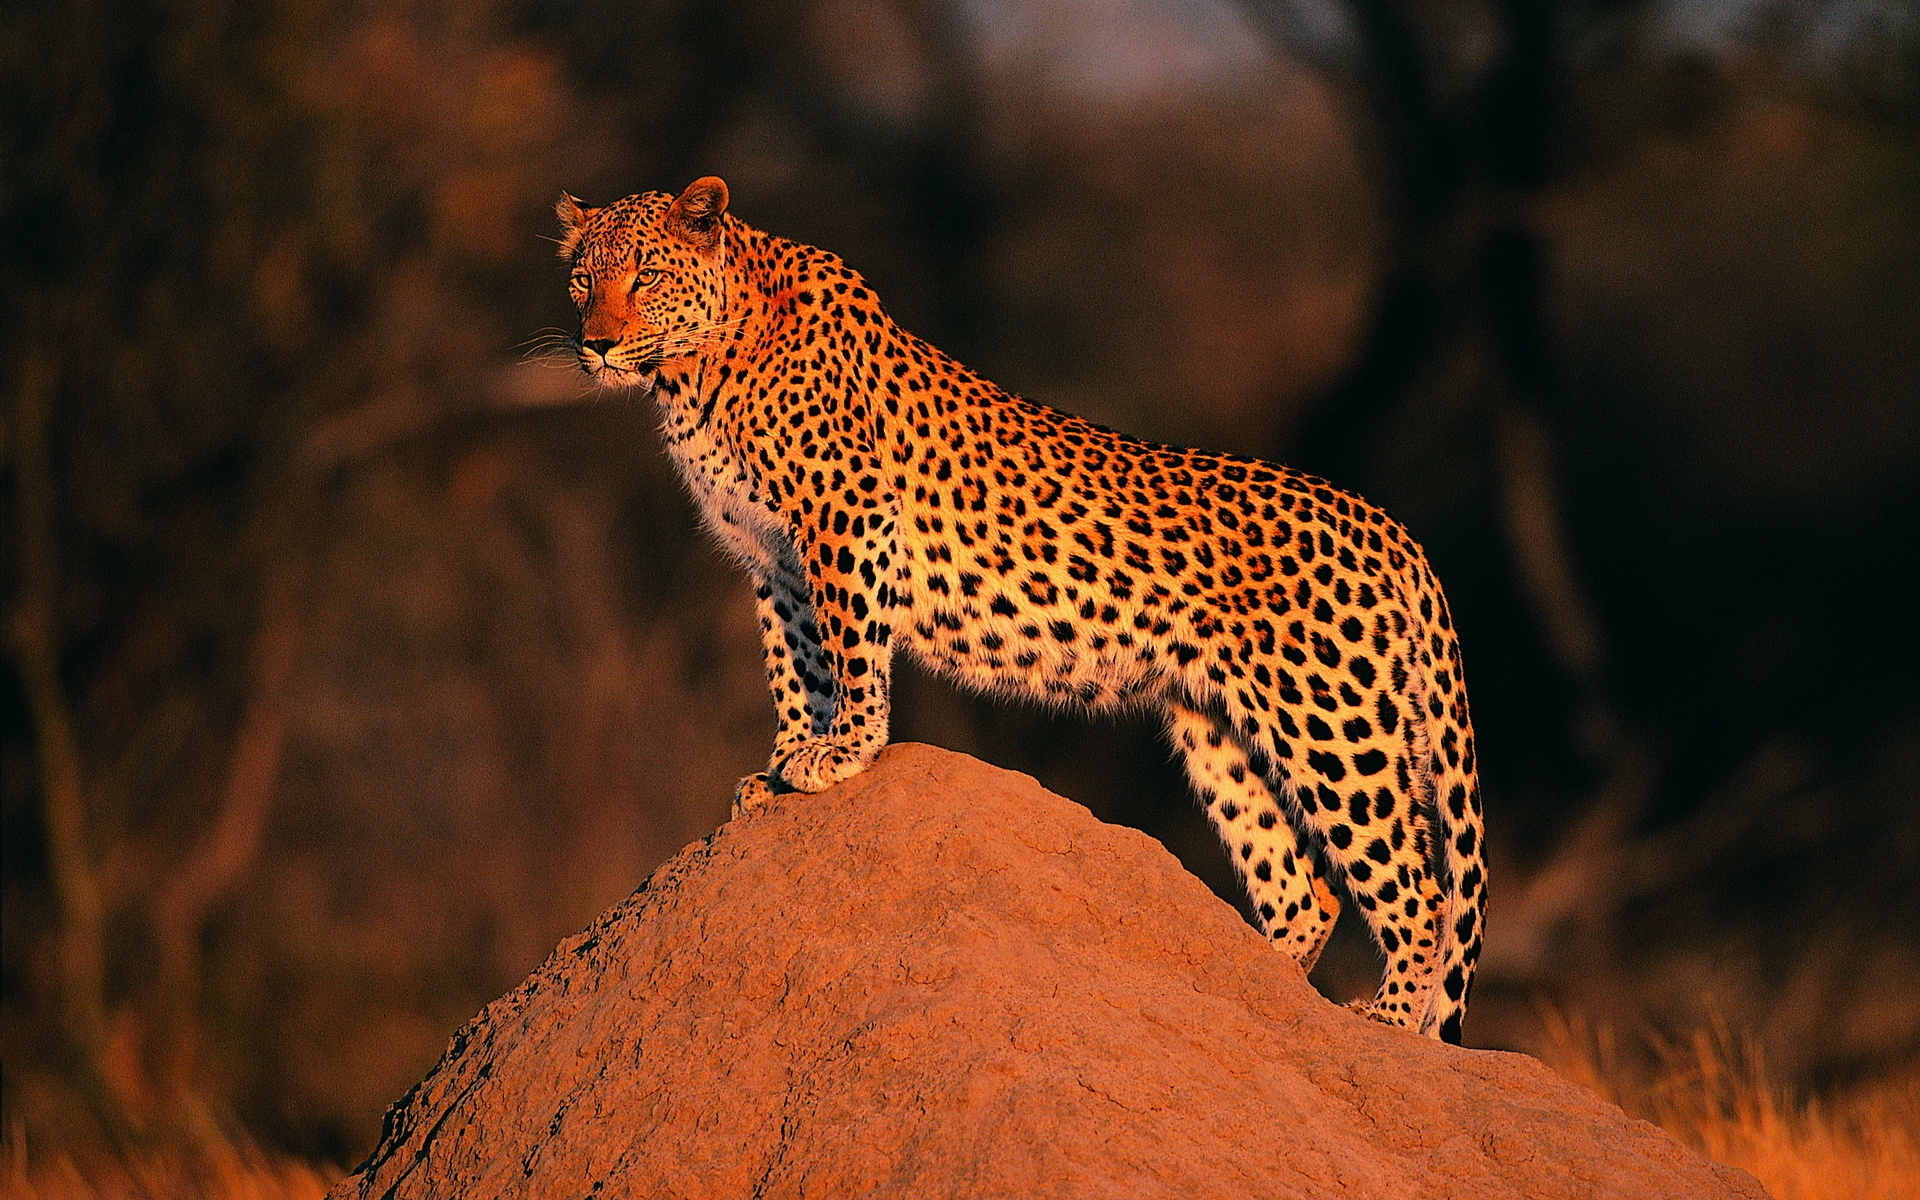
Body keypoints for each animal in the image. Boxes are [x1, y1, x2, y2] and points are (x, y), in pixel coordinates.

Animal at [556, 175, 1482, 1036]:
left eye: (645, 275)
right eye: (580, 280)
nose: (595, 345)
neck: (694, 372)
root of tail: (1386, 524)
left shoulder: (847, 517)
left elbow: (850, 652)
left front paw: (844, 752)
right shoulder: (773, 561)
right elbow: (796, 665)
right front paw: (785, 761)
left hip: (1332, 721)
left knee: (1418, 888)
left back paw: (1387, 1018)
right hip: (1219, 726)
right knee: (1303, 887)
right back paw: (1246, 990)